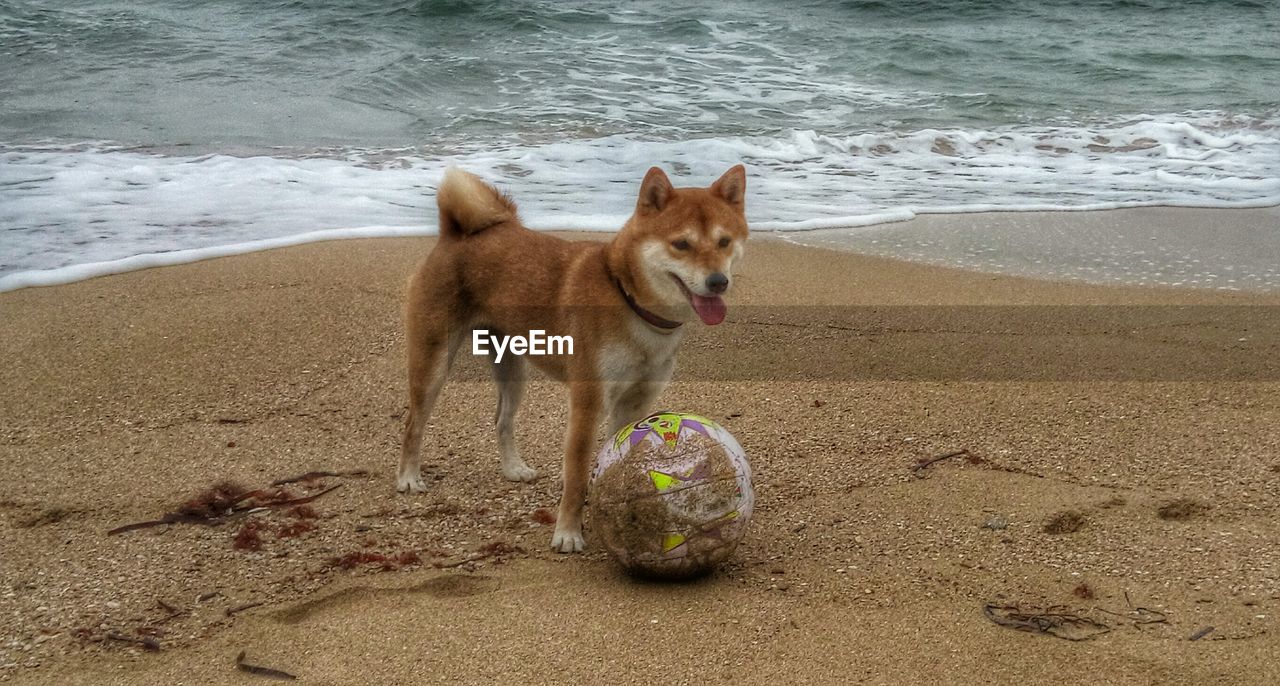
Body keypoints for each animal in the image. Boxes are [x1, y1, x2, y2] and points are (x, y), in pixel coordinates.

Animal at [394, 165, 747, 552]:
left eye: (724, 242)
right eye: (681, 244)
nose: (718, 281)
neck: (628, 298)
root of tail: (454, 235)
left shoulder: (635, 403)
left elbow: (624, 456)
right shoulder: (588, 402)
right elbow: (576, 473)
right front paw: (567, 532)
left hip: (512, 369)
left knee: (502, 419)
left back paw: (513, 469)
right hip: (433, 362)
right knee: (414, 423)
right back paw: (408, 477)